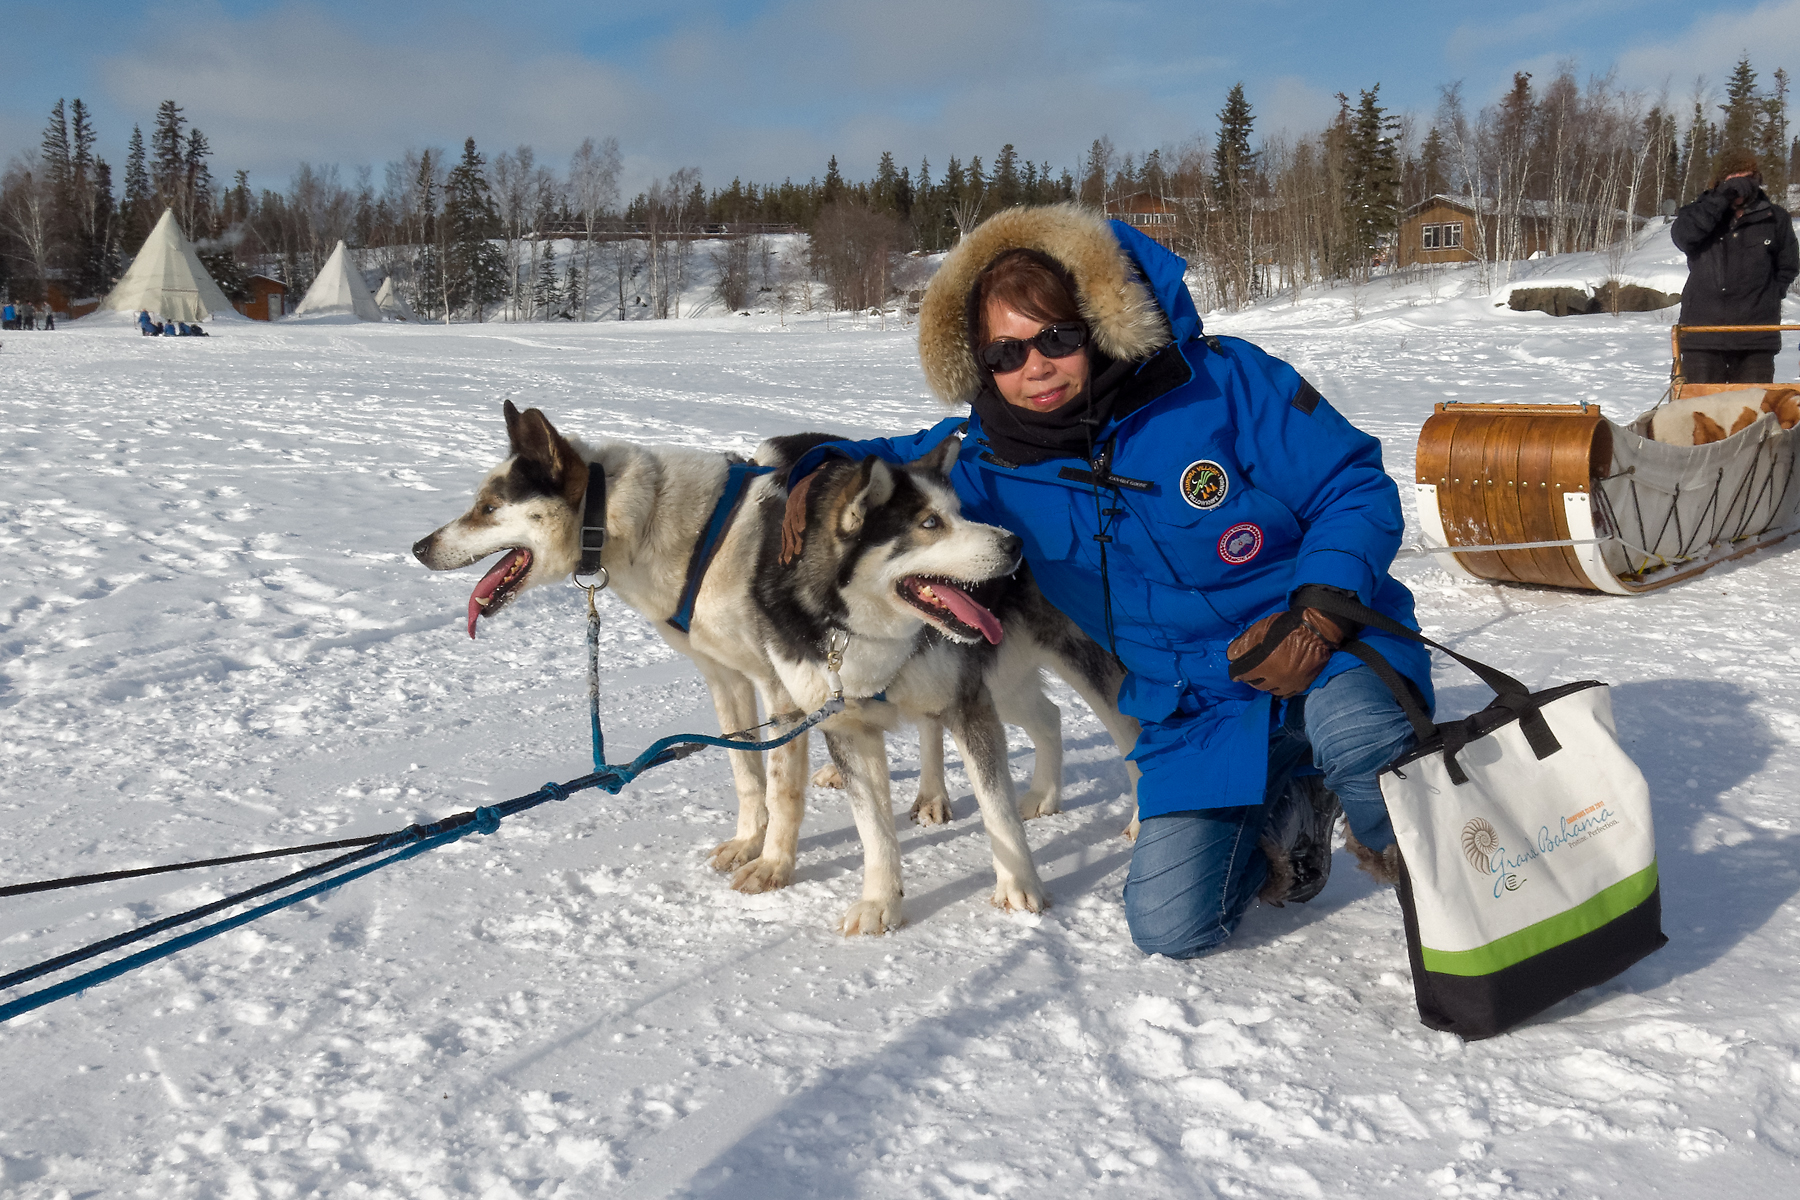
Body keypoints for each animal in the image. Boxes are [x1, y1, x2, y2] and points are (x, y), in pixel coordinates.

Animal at [414, 402, 1130, 935]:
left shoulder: (777, 688)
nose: (419, 547)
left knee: (1114, 727)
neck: (685, 530)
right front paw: (748, 840)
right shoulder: (728, 680)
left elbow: (783, 787)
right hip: (996, 673)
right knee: (1037, 715)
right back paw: (995, 794)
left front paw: (775, 864)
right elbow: (747, 775)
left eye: (486, 506)